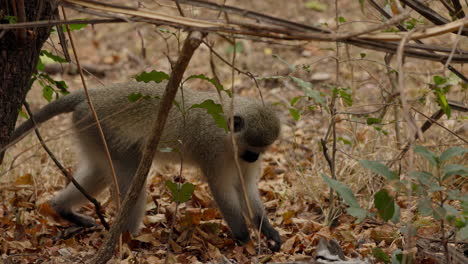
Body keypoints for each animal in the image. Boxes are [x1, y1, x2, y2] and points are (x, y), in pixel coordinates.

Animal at [8, 81, 282, 251]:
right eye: (250, 148)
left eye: (261, 150)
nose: (253, 158)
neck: (228, 137)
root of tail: (91, 95)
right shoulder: (212, 149)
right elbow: (222, 190)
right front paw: (244, 237)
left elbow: (246, 188)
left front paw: (267, 229)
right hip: (101, 128)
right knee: (132, 180)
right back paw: (128, 240)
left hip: (91, 130)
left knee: (98, 172)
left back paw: (61, 209)